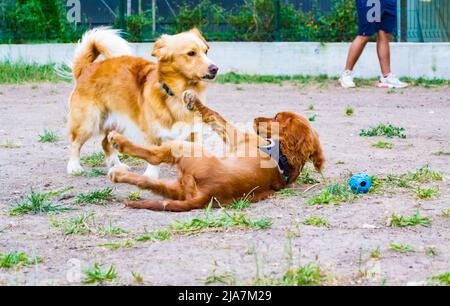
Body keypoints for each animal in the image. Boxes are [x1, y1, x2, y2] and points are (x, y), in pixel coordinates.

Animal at [67, 28, 220, 179]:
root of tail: (86, 68)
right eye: (191, 53)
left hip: (119, 121)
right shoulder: (153, 133)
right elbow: (153, 156)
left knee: (106, 143)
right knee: (75, 143)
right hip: (88, 122)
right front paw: (150, 175)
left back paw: (117, 165)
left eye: (206, 51)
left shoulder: (193, 133)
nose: (215, 68)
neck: (177, 94)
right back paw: (74, 167)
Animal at [106, 89, 324, 212]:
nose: (255, 119)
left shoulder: (237, 136)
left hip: (188, 149)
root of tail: (208, 194)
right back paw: (119, 175)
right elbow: (216, 118)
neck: (283, 155)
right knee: (147, 181)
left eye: (277, 117)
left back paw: (119, 143)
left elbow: (215, 116)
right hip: (176, 189)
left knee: (155, 155)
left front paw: (194, 102)